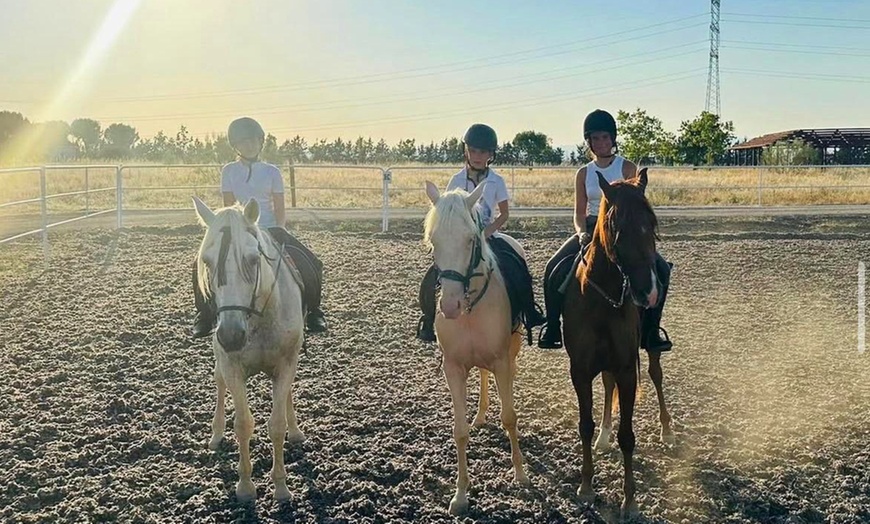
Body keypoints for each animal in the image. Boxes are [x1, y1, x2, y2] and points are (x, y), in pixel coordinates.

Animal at [195, 195, 310, 500]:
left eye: (253, 259)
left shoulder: (286, 364)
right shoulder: (232, 367)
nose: (231, 335)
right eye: (207, 261)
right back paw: (216, 434)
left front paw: (280, 486)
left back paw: (296, 431)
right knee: (219, 383)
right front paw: (245, 486)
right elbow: (243, 424)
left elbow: (276, 425)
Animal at [422, 181, 532, 516]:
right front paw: (460, 495)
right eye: (434, 240)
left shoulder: (502, 361)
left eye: (471, 238)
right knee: (482, 377)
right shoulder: (453, 368)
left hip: (512, 350)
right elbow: (459, 430)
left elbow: (510, 417)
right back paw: (481, 415)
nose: (450, 306)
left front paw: (520, 475)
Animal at [564, 169, 660, 520]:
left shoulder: (627, 369)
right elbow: (585, 425)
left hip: (651, 348)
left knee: (657, 376)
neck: (603, 298)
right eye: (617, 227)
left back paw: (668, 431)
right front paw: (586, 487)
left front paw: (630, 501)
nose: (648, 292)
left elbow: (628, 436)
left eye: (652, 224)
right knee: (606, 387)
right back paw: (604, 439)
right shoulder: (580, 370)